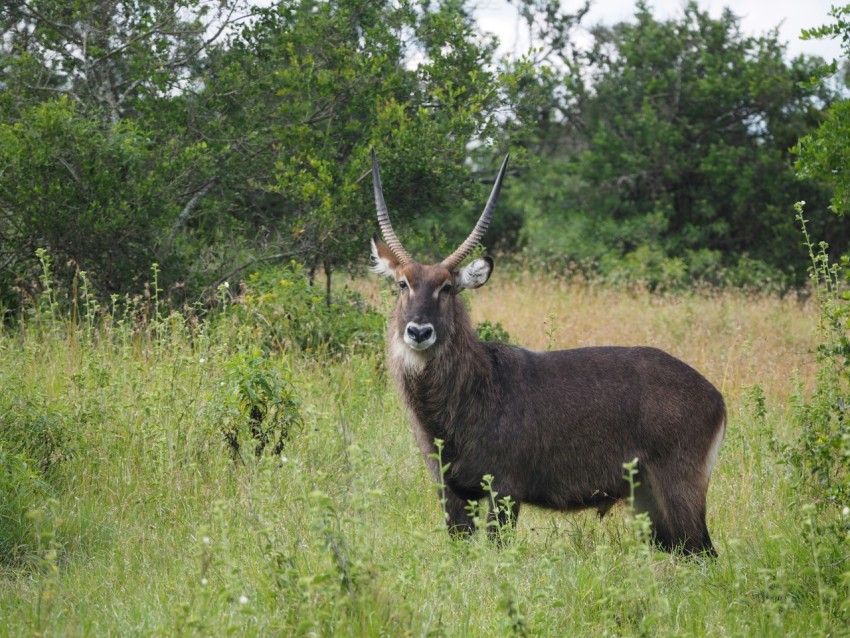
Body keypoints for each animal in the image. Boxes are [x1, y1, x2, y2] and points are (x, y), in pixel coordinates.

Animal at [368, 150, 724, 556]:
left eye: (446, 287)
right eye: (402, 284)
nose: (419, 331)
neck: (473, 388)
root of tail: (716, 396)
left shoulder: (505, 487)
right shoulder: (450, 490)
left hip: (679, 489)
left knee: (704, 552)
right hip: (647, 501)